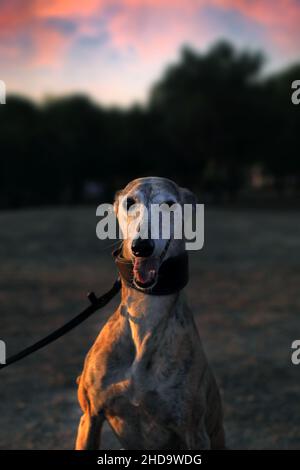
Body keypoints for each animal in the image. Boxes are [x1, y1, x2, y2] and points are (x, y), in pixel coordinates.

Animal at [75, 177, 225, 452]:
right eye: (129, 202)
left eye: (168, 204)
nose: (141, 246)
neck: (145, 312)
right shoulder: (90, 416)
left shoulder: (195, 431)